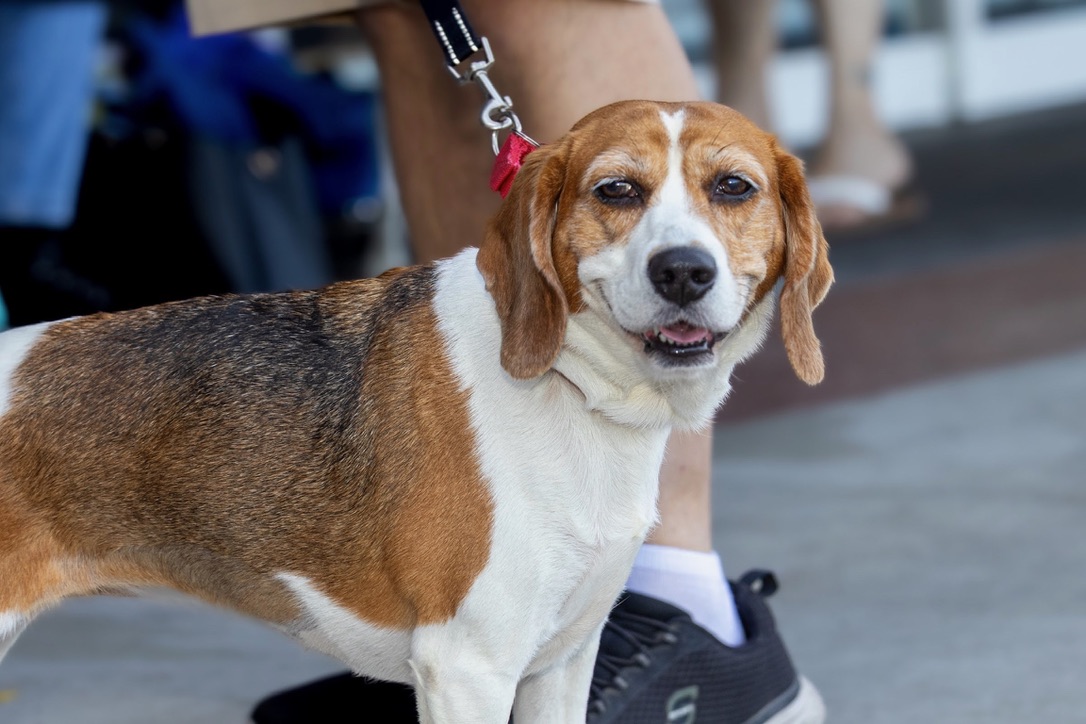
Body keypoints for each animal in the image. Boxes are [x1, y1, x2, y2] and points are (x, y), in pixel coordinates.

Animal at [0, 100, 831, 722]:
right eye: (617, 191)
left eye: (734, 187)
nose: (683, 272)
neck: (568, 389)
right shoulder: (468, 668)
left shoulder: (562, 661)